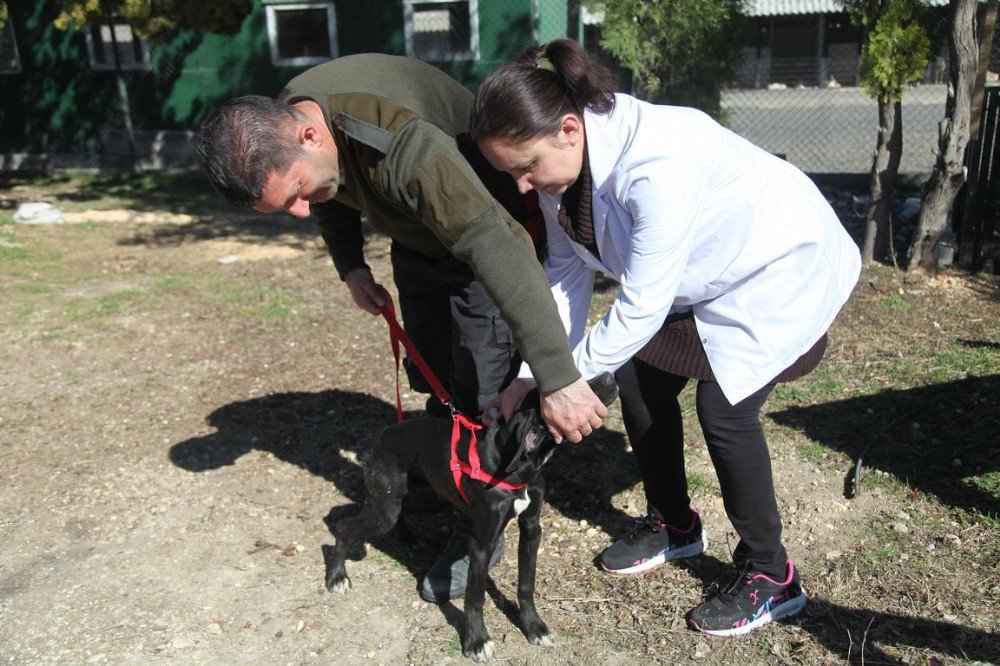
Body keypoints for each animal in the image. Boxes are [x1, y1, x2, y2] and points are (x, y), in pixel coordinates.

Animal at [324, 374, 616, 660]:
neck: (513, 466)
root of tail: (380, 437)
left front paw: (534, 627)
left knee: (401, 512)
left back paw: (407, 537)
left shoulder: (532, 529)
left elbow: (526, 584)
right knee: (344, 527)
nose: (609, 377)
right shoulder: (482, 543)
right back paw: (337, 577)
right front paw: (477, 641)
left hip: (425, 495)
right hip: (385, 509)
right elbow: (475, 598)